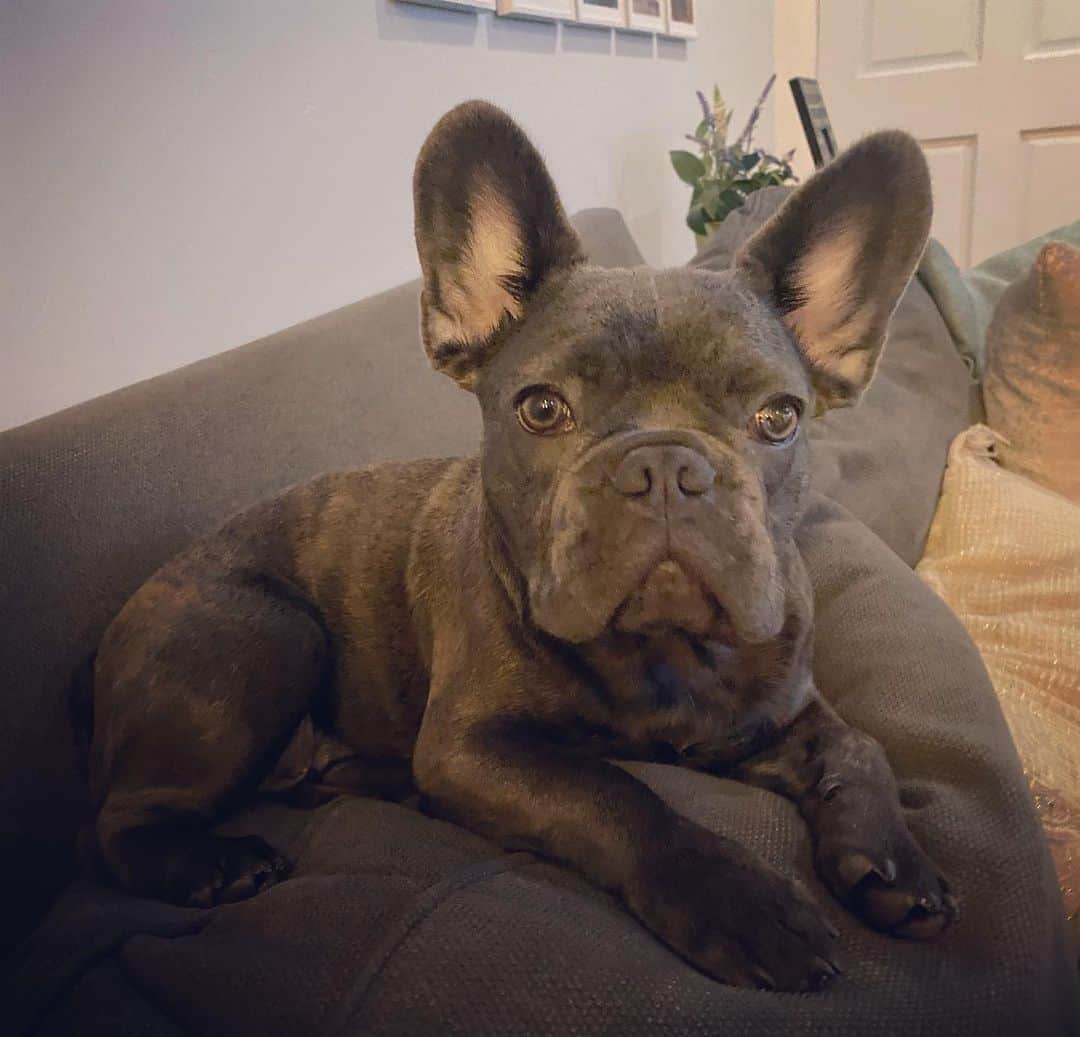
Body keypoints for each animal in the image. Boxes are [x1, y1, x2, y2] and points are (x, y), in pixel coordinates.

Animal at [84, 101, 954, 993]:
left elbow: (860, 744)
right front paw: (739, 901)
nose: (665, 465)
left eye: (779, 417)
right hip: (268, 632)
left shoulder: (782, 708)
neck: (666, 652)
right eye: (541, 408)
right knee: (121, 820)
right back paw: (212, 863)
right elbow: (612, 793)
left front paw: (895, 862)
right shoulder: (474, 746)